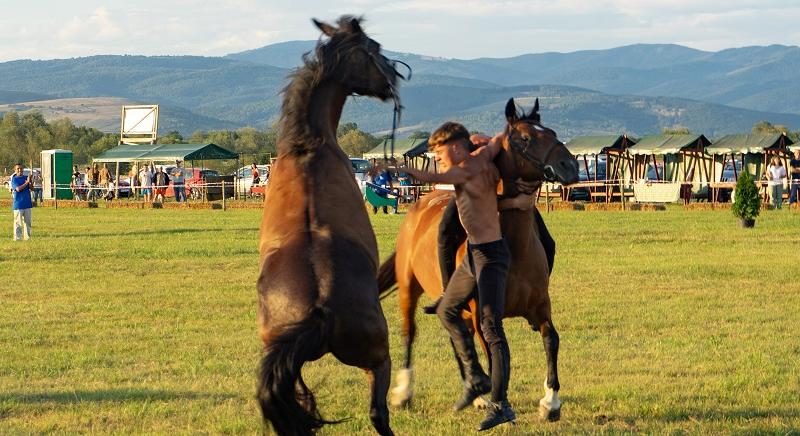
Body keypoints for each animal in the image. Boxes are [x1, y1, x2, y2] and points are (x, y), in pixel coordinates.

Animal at [258, 17, 406, 436]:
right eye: (375, 49)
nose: (393, 80)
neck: (310, 146)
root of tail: (322, 305)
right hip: (378, 358)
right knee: (378, 411)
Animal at [378, 99, 580, 422]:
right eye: (525, 138)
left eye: (552, 132)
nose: (570, 166)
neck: (513, 251)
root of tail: (418, 206)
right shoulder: (482, 313)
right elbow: (492, 353)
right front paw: (499, 400)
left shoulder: (540, 307)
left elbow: (552, 339)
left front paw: (550, 401)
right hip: (410, 288)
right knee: (410, 332)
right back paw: (403, 392)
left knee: (457, 337)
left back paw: (475, 394)